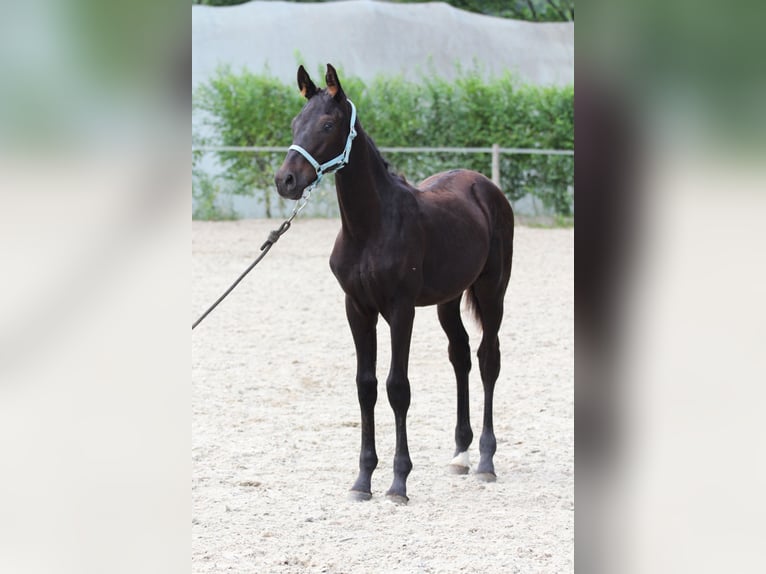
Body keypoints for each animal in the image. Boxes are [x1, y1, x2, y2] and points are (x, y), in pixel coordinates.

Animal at [276, 64, 516, 504]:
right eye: (295, 123)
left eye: (327, 124)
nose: (285, 180)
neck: (370, 227)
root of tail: (483, 185)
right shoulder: (358, 309)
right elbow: (366, 387)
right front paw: (362, 480)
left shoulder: (400, 310)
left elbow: (396, 388)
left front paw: (398, 482)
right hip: (447, 299)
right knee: (460, 356)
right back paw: (460, 454)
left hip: (492, 291)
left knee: (488, 359)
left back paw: (486, 461)